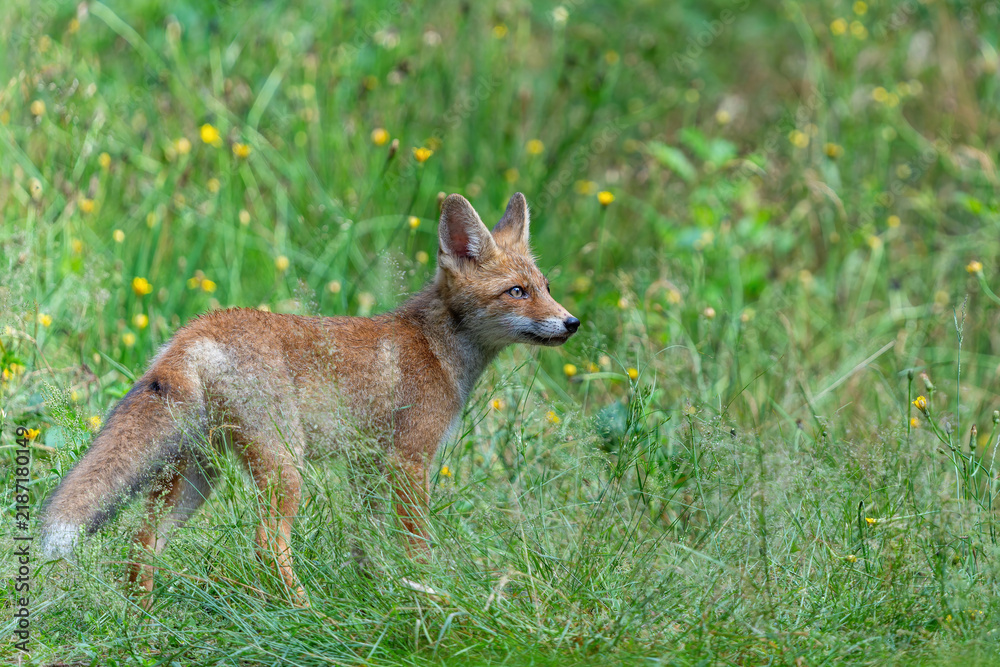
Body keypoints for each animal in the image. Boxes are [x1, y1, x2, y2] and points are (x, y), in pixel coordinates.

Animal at [40, 192, 579, 602]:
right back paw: (305, 612)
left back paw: (143, 618)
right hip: (284, 468)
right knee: (264, 544)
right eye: (516, 292)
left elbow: (367, 542)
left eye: (546, 287)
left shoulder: (367, 465)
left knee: (143, 538)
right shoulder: (409, 461)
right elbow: (417, 546)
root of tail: (195, 329)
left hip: (200, 476)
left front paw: (374, 594)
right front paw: (429, 596)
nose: (572, 322)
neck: (435, 348)